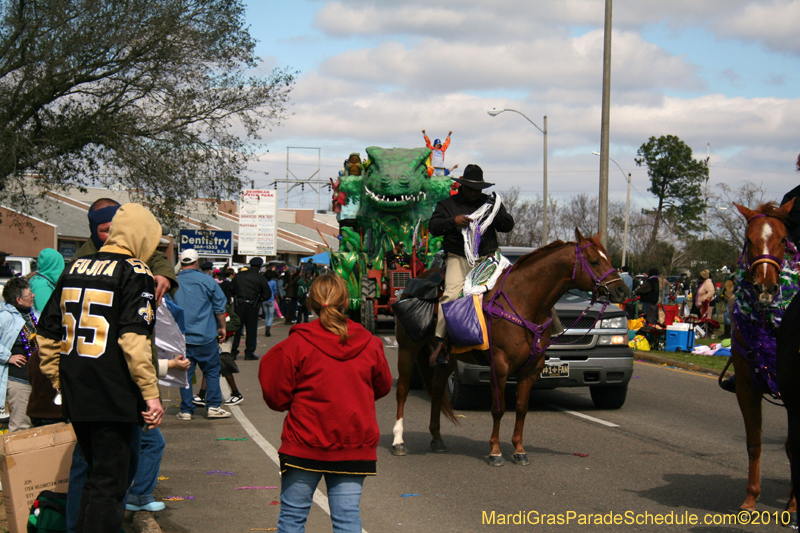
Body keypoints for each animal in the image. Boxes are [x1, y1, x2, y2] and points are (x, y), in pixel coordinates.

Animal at [394, 229, 632, 466]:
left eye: (608, 259)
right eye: (594, 261)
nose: (622, 290)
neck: (523, 302)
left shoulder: (531, 368)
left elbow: (521, 408)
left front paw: (519, 450)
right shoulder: (499, 366)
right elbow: (498, 408)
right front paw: (495, 452)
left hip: (447, 360)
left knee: (436, 392)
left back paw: (437, 439)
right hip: (408, 350)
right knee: (402, 390)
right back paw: (398, 442)